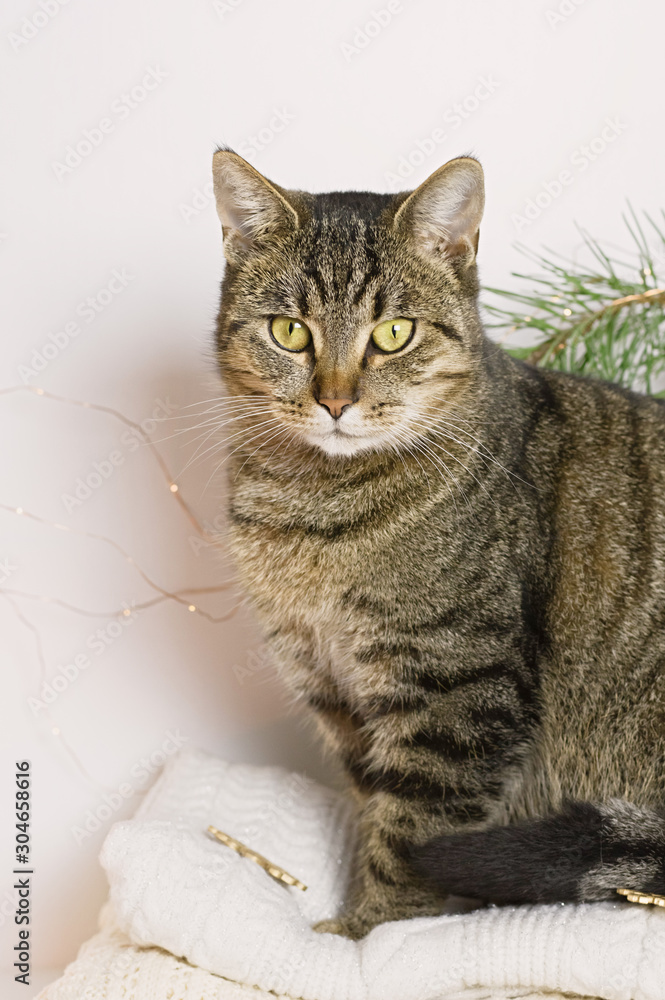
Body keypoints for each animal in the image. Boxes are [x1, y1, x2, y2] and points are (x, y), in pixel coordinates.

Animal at [210, 146, 664, 936]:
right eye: (289, 330)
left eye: (394, 333)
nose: (335, 399)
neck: (313, 508)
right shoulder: (336, 691)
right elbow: (376, 809)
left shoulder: (455, 688)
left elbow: (413, 834)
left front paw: (369, 934)